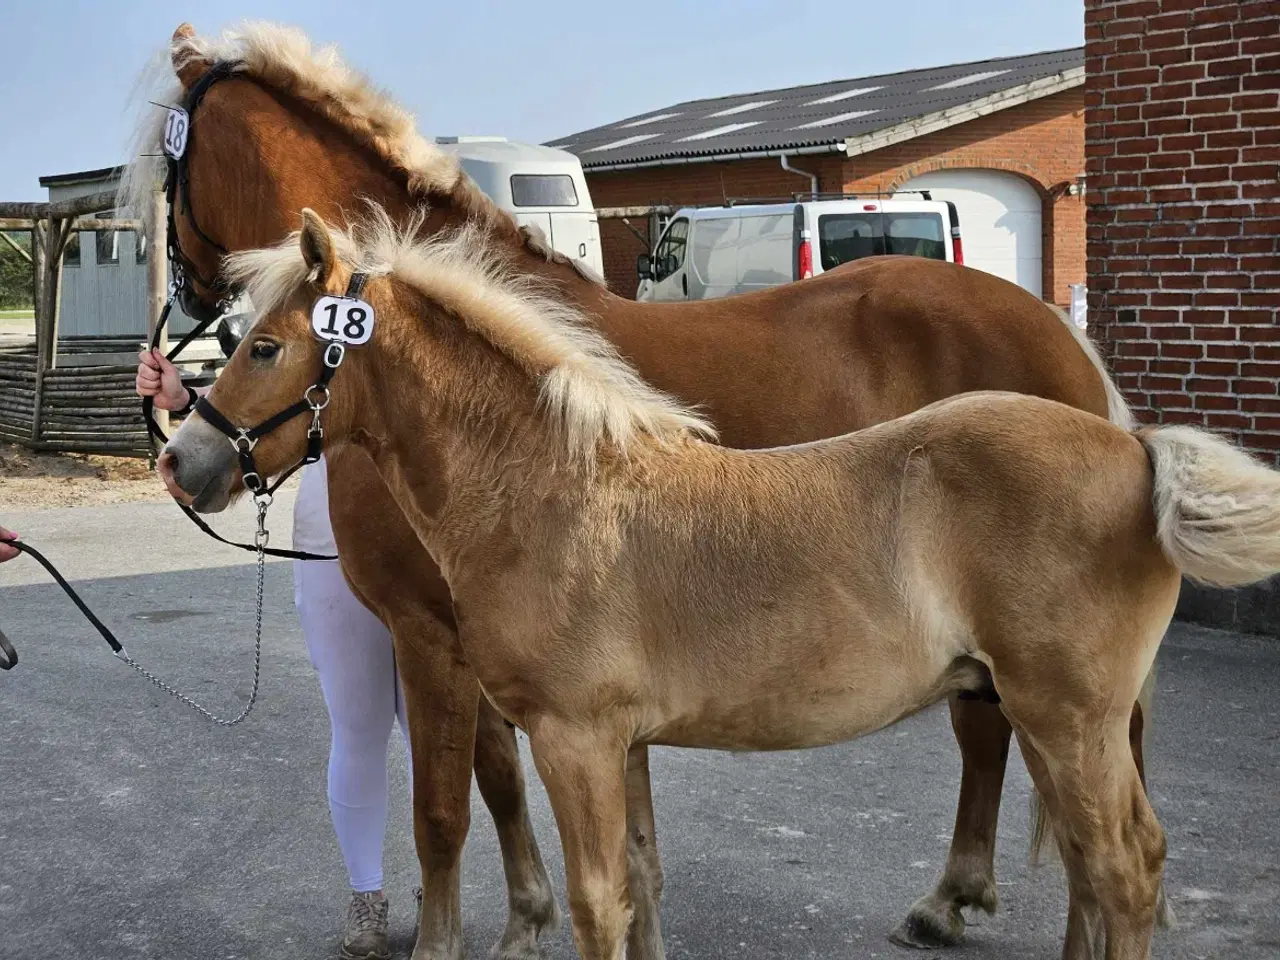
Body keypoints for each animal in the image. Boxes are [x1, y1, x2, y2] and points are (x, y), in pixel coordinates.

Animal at [162, 209, 1280, 960]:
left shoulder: (572, 737)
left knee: (1124, 869)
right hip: (1054, 719)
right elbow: (643, 883)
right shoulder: (625, 744)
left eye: (264, 345)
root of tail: (1136, 448)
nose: (183, 463)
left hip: (1066, 716)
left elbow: (595, 900)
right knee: (1093, 869)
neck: (553, 487)